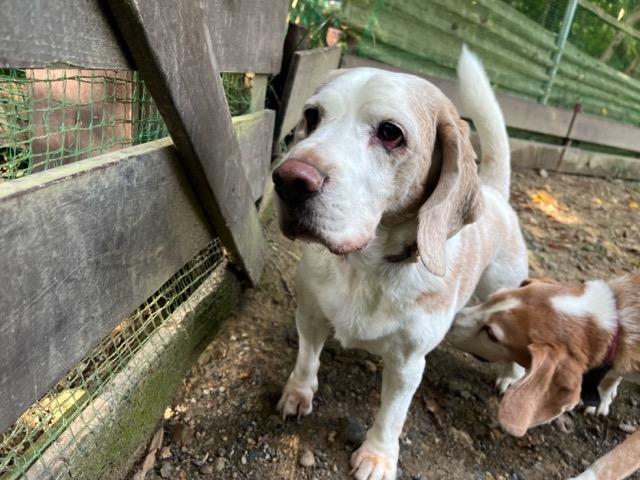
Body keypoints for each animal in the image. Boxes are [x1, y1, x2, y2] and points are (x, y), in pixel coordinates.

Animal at [271, 46, 528, 479]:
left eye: (391, 132)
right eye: (312, 116)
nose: (288, 181)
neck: (366, 268)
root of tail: (495, 193)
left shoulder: (408, 364)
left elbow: (392, 415)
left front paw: (377, 457)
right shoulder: (309, 314)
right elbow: (307, 361)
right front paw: (296, 393)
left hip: (504, 288)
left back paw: (512, 376)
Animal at [447, 274, 640, 480]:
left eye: (491, 334)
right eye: (492, 298)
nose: (447, 323)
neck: (617, 320)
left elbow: (616, 460)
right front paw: (603, 396)